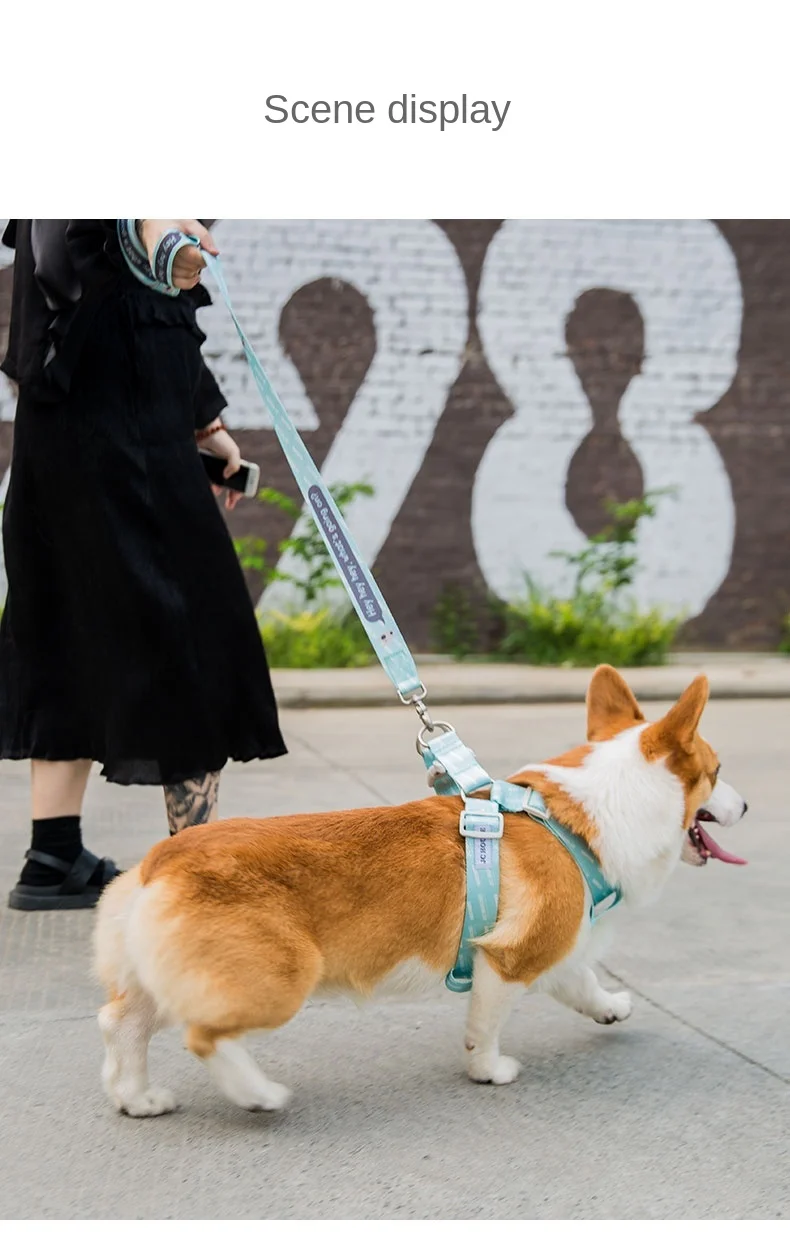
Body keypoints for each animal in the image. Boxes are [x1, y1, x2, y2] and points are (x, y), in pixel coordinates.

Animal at [93, 664, 747, 1117]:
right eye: (717, 773)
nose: (745, 806)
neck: (588, 814)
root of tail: (161, 861)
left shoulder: (553, 949)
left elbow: (582, 982)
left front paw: (611, 1006)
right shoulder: (509, 960)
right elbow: (485, 1025)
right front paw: (489, 1070)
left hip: (157, 978)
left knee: (122, 1023)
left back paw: (137, 1098)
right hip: (279, 980)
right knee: (203, 1035)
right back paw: (259, 1094)